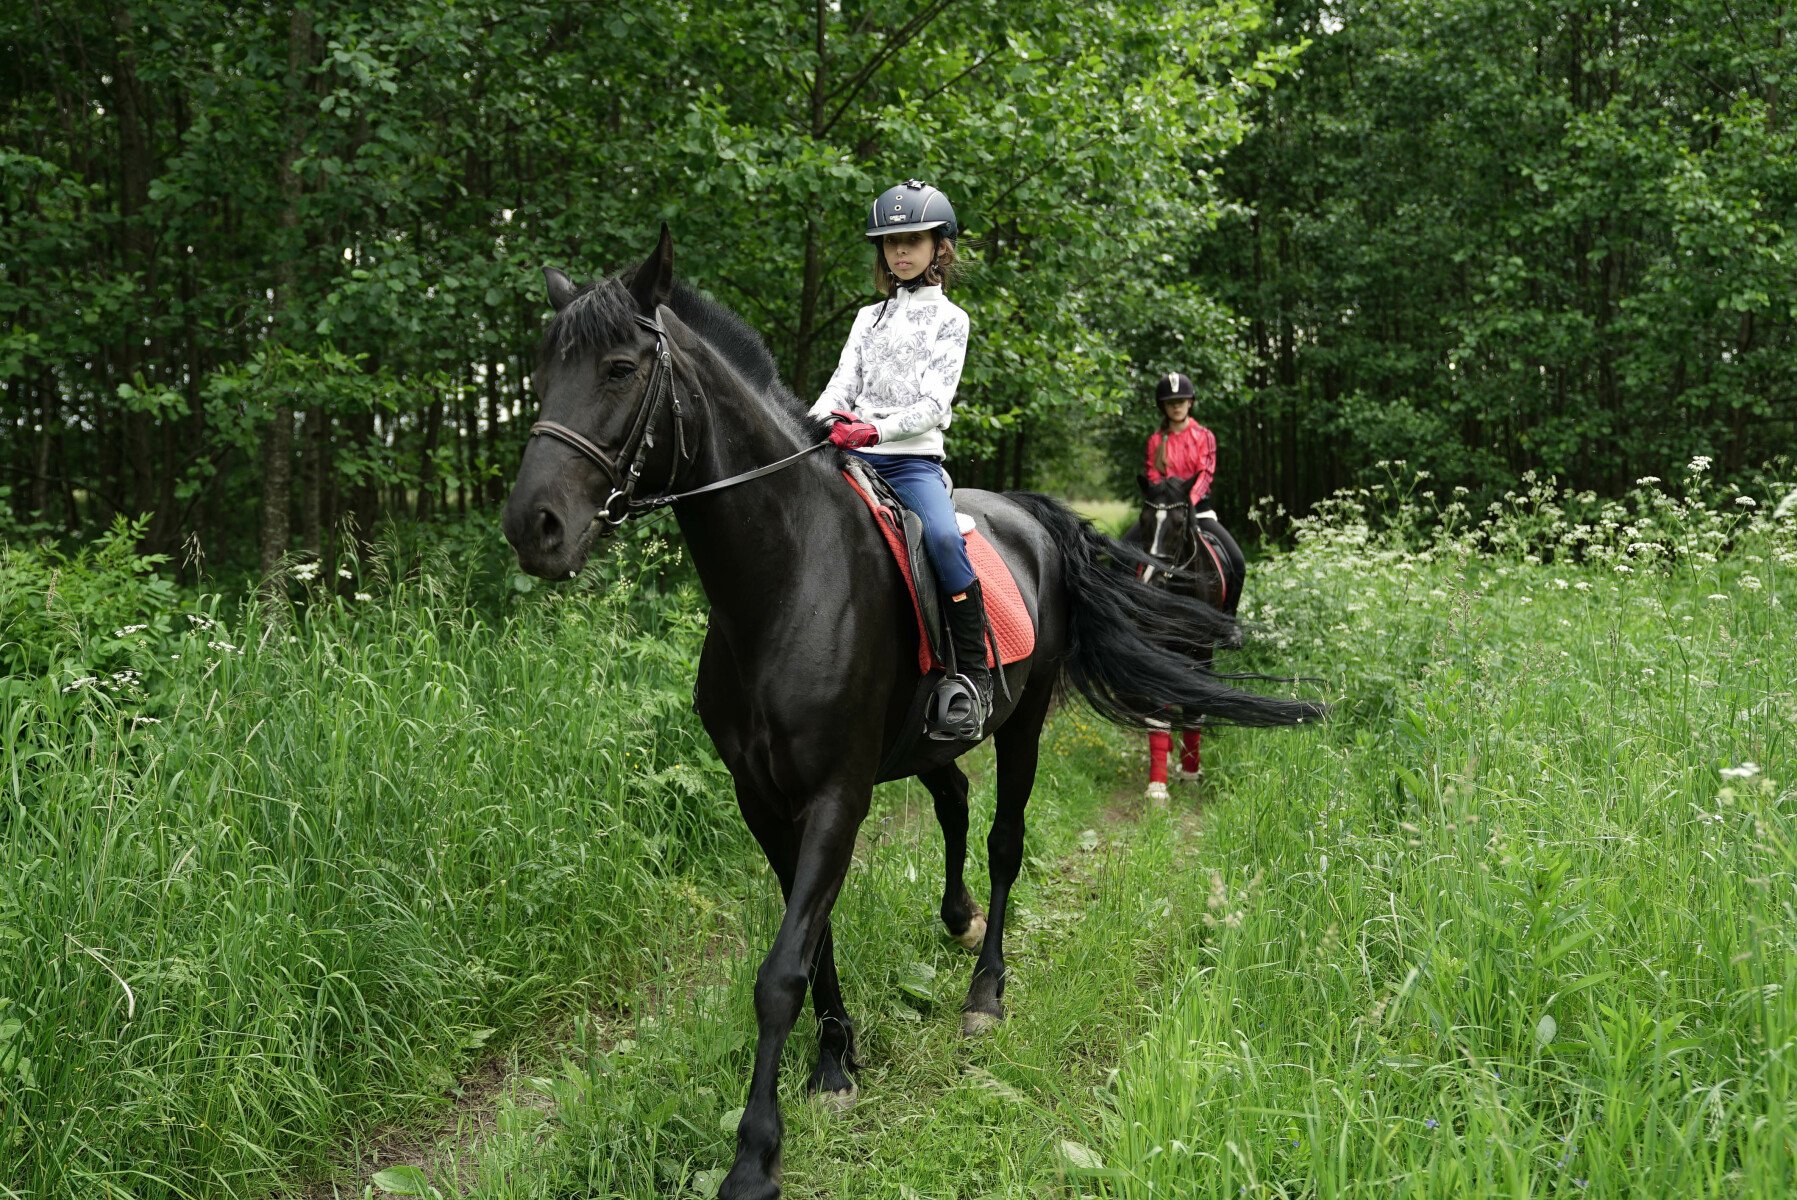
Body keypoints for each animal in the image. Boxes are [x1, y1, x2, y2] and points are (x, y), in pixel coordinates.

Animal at [506, 227, 1322, 1200]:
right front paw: (834, 1064)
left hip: (1021, 725)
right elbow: (812, 942)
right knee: (955, 801)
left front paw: (755, 1154)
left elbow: (780, 969)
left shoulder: (836, 795)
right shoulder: (761, 799)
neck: (781, 582)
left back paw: (984, 991)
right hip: (930, 741)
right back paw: (955, 916)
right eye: (541, 370)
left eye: (621, 368)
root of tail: (1028, 516)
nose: (532, 526)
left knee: (1004, 839)